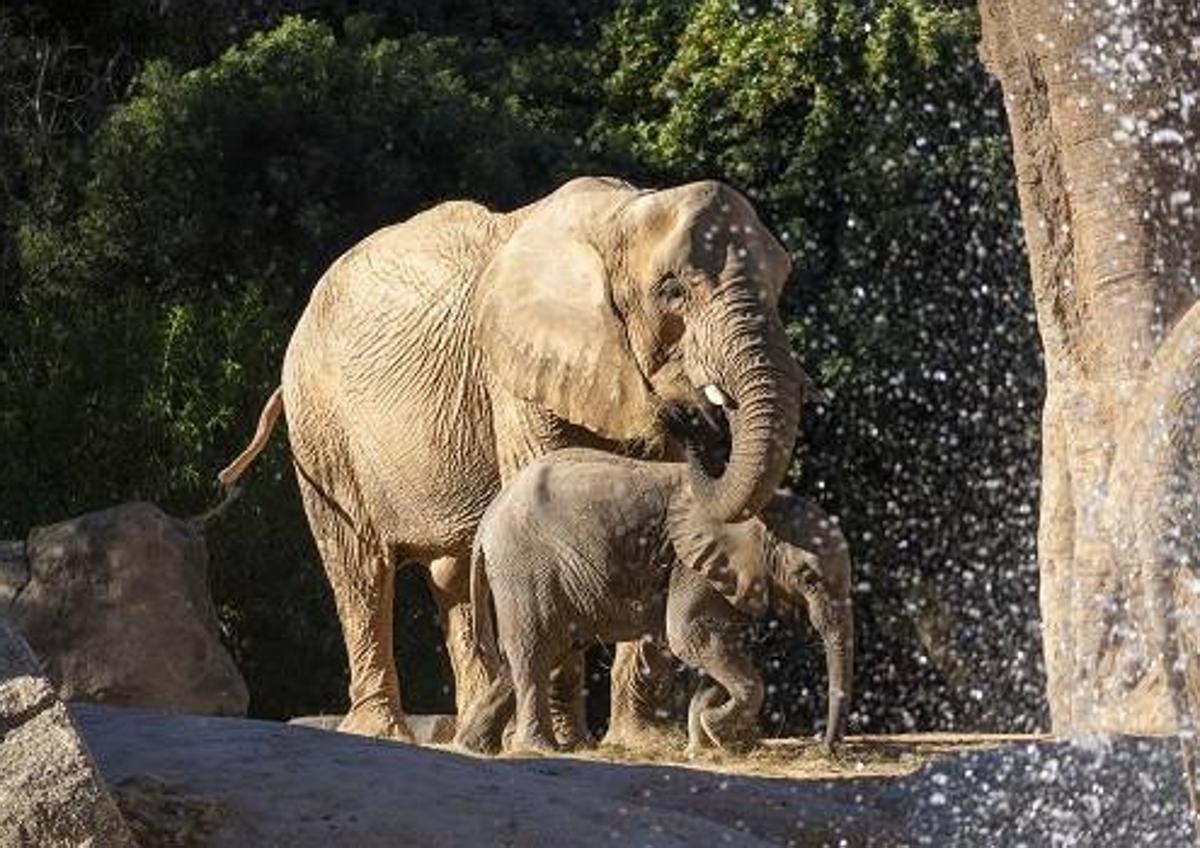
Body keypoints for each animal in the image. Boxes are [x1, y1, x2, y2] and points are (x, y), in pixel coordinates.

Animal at [220, 177, 801, 743]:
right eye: (672, 291)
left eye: (780, 288)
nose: (700, 425)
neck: (621, 214)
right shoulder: (517, 374)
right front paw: (573, 744)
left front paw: (640, 745)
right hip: (324, 427)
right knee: (360, 568)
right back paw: (383, 730)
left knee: (453, 578)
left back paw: (476, 733)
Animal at [451, 450, 854, 758]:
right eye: (809, 577)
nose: (824, 751)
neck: (763, 506)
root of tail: (487, 522)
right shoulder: (693, 567)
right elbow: (690, 637)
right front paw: (714, 730)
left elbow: (717, 642)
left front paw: (704, 735)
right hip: (524, 567)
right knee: (534, 649)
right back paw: (539, 749)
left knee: (545, 650)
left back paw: (475, 746)